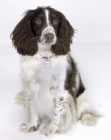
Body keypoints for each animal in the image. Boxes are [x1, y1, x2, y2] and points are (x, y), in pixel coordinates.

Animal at [10, 6, 102, 136]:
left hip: (80, 99)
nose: (50, 36)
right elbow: (33, 109)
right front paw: (32, 125)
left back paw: (88, 118)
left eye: (55, 21)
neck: (44, 57)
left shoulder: (61, 92)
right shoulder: (31, 88)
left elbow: (57, 113)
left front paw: (51, 128)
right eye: (38, 20)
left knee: (84, 111)